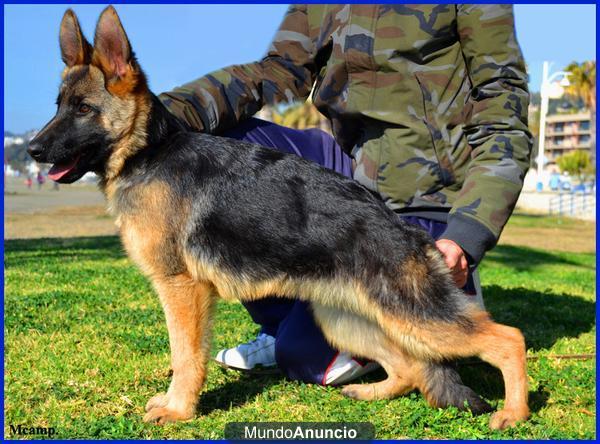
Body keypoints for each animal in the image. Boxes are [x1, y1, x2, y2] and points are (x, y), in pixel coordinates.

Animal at [28, 6, 528, 430]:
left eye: (84, 109)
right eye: (58, 105)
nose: (31, 149)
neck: (148, 153)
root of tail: (407, 232)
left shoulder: (182, 290)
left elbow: (185, 356)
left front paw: (178, 409)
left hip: (418, 318)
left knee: (508, 338)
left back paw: (514, 413)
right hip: (349, 319)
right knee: (407, 367)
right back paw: (369, 393)